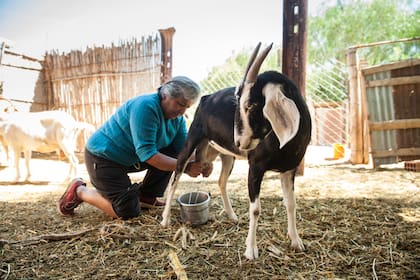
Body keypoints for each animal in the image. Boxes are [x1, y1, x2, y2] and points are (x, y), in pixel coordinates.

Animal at [161, 43, 312, 260]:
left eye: (250, 105)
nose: (239, 142)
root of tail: (206, 98)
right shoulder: (255, 167)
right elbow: (255, 209)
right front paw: (251, 250)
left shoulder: (289, 169)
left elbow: (291, 203)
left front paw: (296, 241)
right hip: (192, 138)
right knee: (176, 175)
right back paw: (165, 219)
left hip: (227, 156)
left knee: (221, 181)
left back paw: (232, 215)